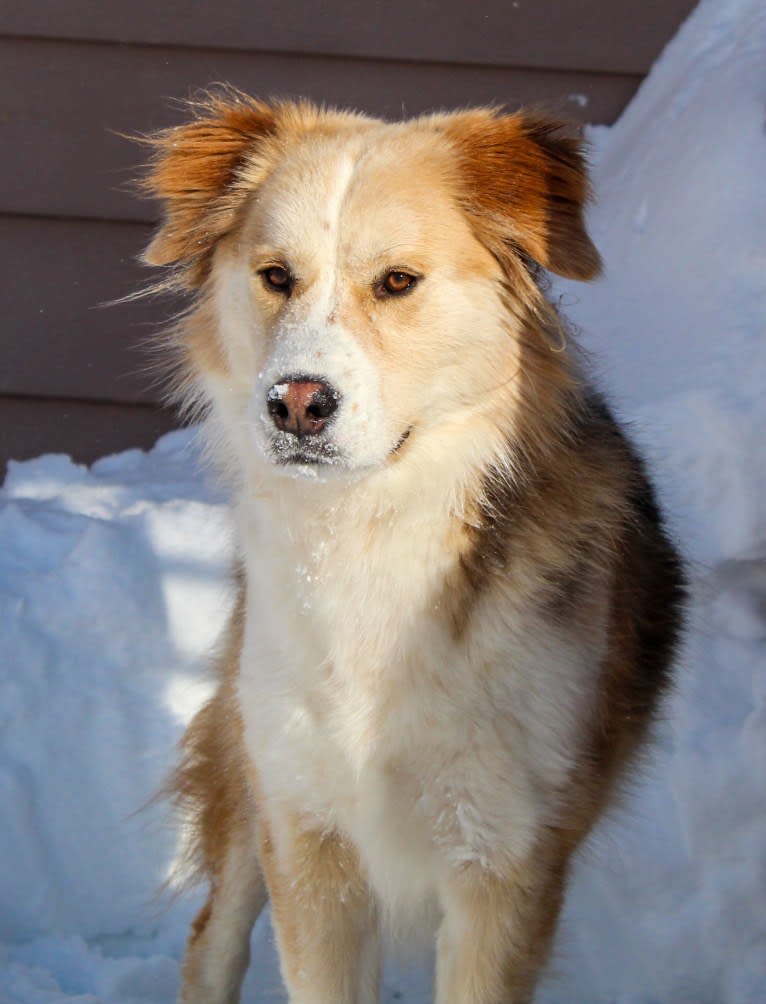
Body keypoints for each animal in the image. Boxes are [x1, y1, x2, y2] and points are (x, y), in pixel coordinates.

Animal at [140, 90, 686, 999]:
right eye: (276, 276)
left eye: (397, 282)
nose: (296, 404)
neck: (368, 532)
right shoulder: (307, 839)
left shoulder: (505, 861)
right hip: (251, 782)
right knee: (211, 940)